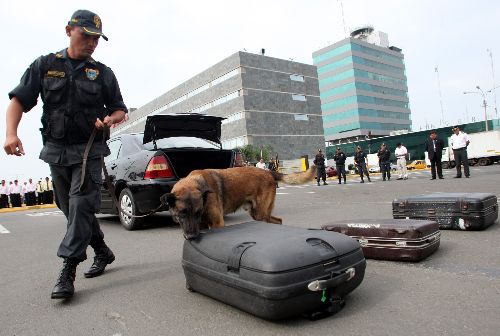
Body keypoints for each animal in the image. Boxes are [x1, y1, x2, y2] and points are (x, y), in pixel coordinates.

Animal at [160, 165, 316, 239]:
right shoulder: (202, 226)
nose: (191, 236)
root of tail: (269, 172)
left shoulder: (217, 224)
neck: (198, 183)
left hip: (260, 214)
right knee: (278, 221)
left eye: (197, 212)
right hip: (258, 214)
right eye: (182, 213)